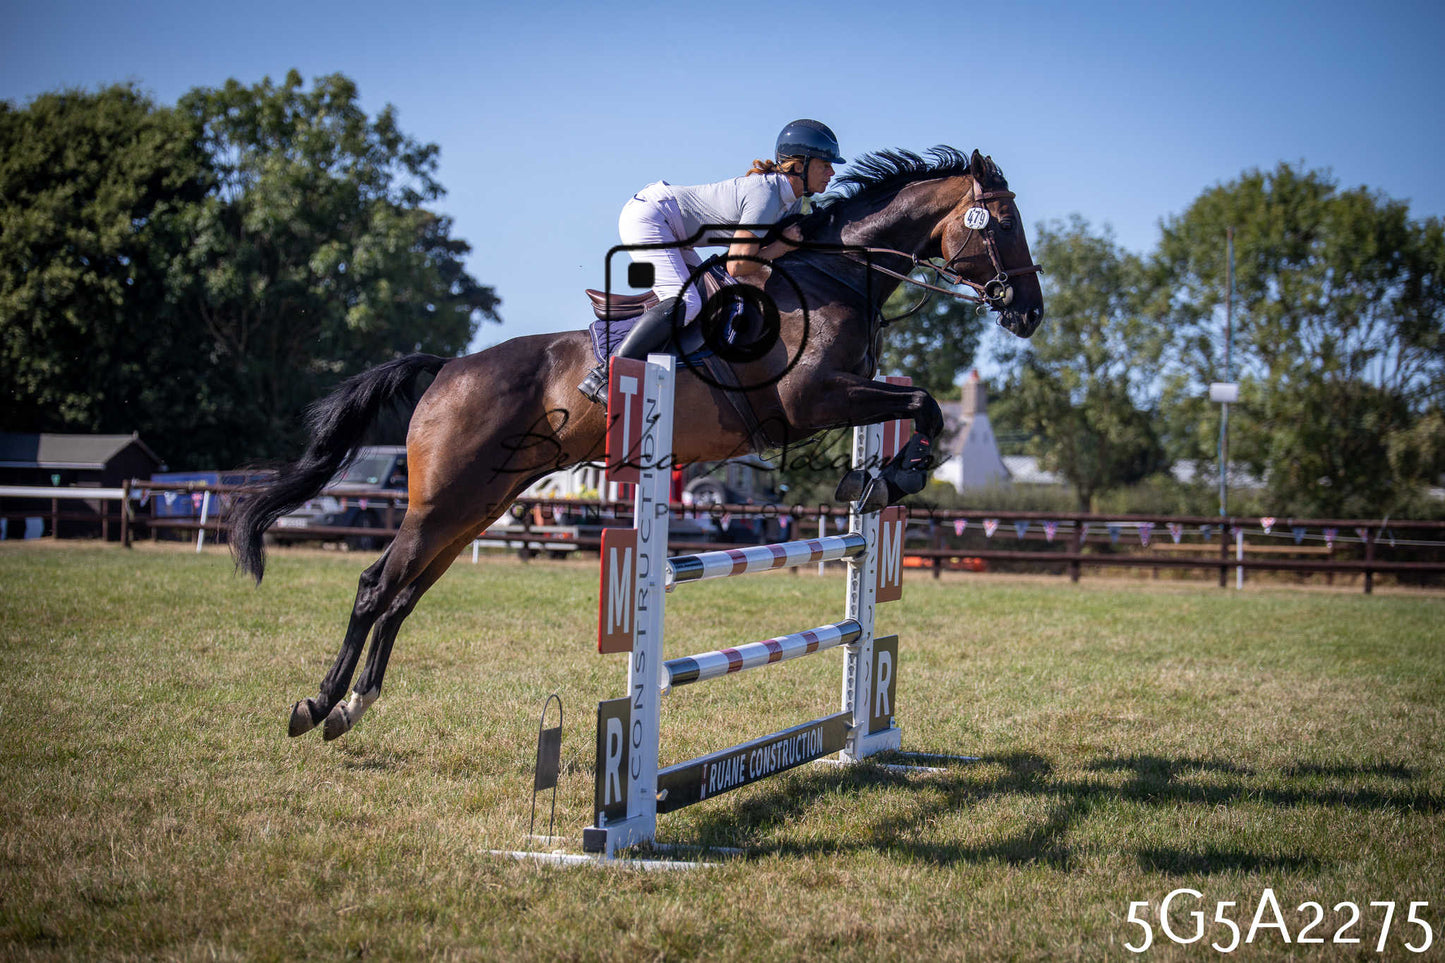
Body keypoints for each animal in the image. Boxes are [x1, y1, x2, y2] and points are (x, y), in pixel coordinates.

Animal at [231, 147, 1045, 741]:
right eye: (1001, 224)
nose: (1030, 312)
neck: (834, 277)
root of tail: (450, 367)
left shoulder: (842, 394)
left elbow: (919, 405)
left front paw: (879, 480)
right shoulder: (809, 402)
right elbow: (924, 404)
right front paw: (885, 480)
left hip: (477, 503)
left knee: (403, 595)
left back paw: (351, 708)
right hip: (441, 498)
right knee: (377, 586)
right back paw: (315, 704)